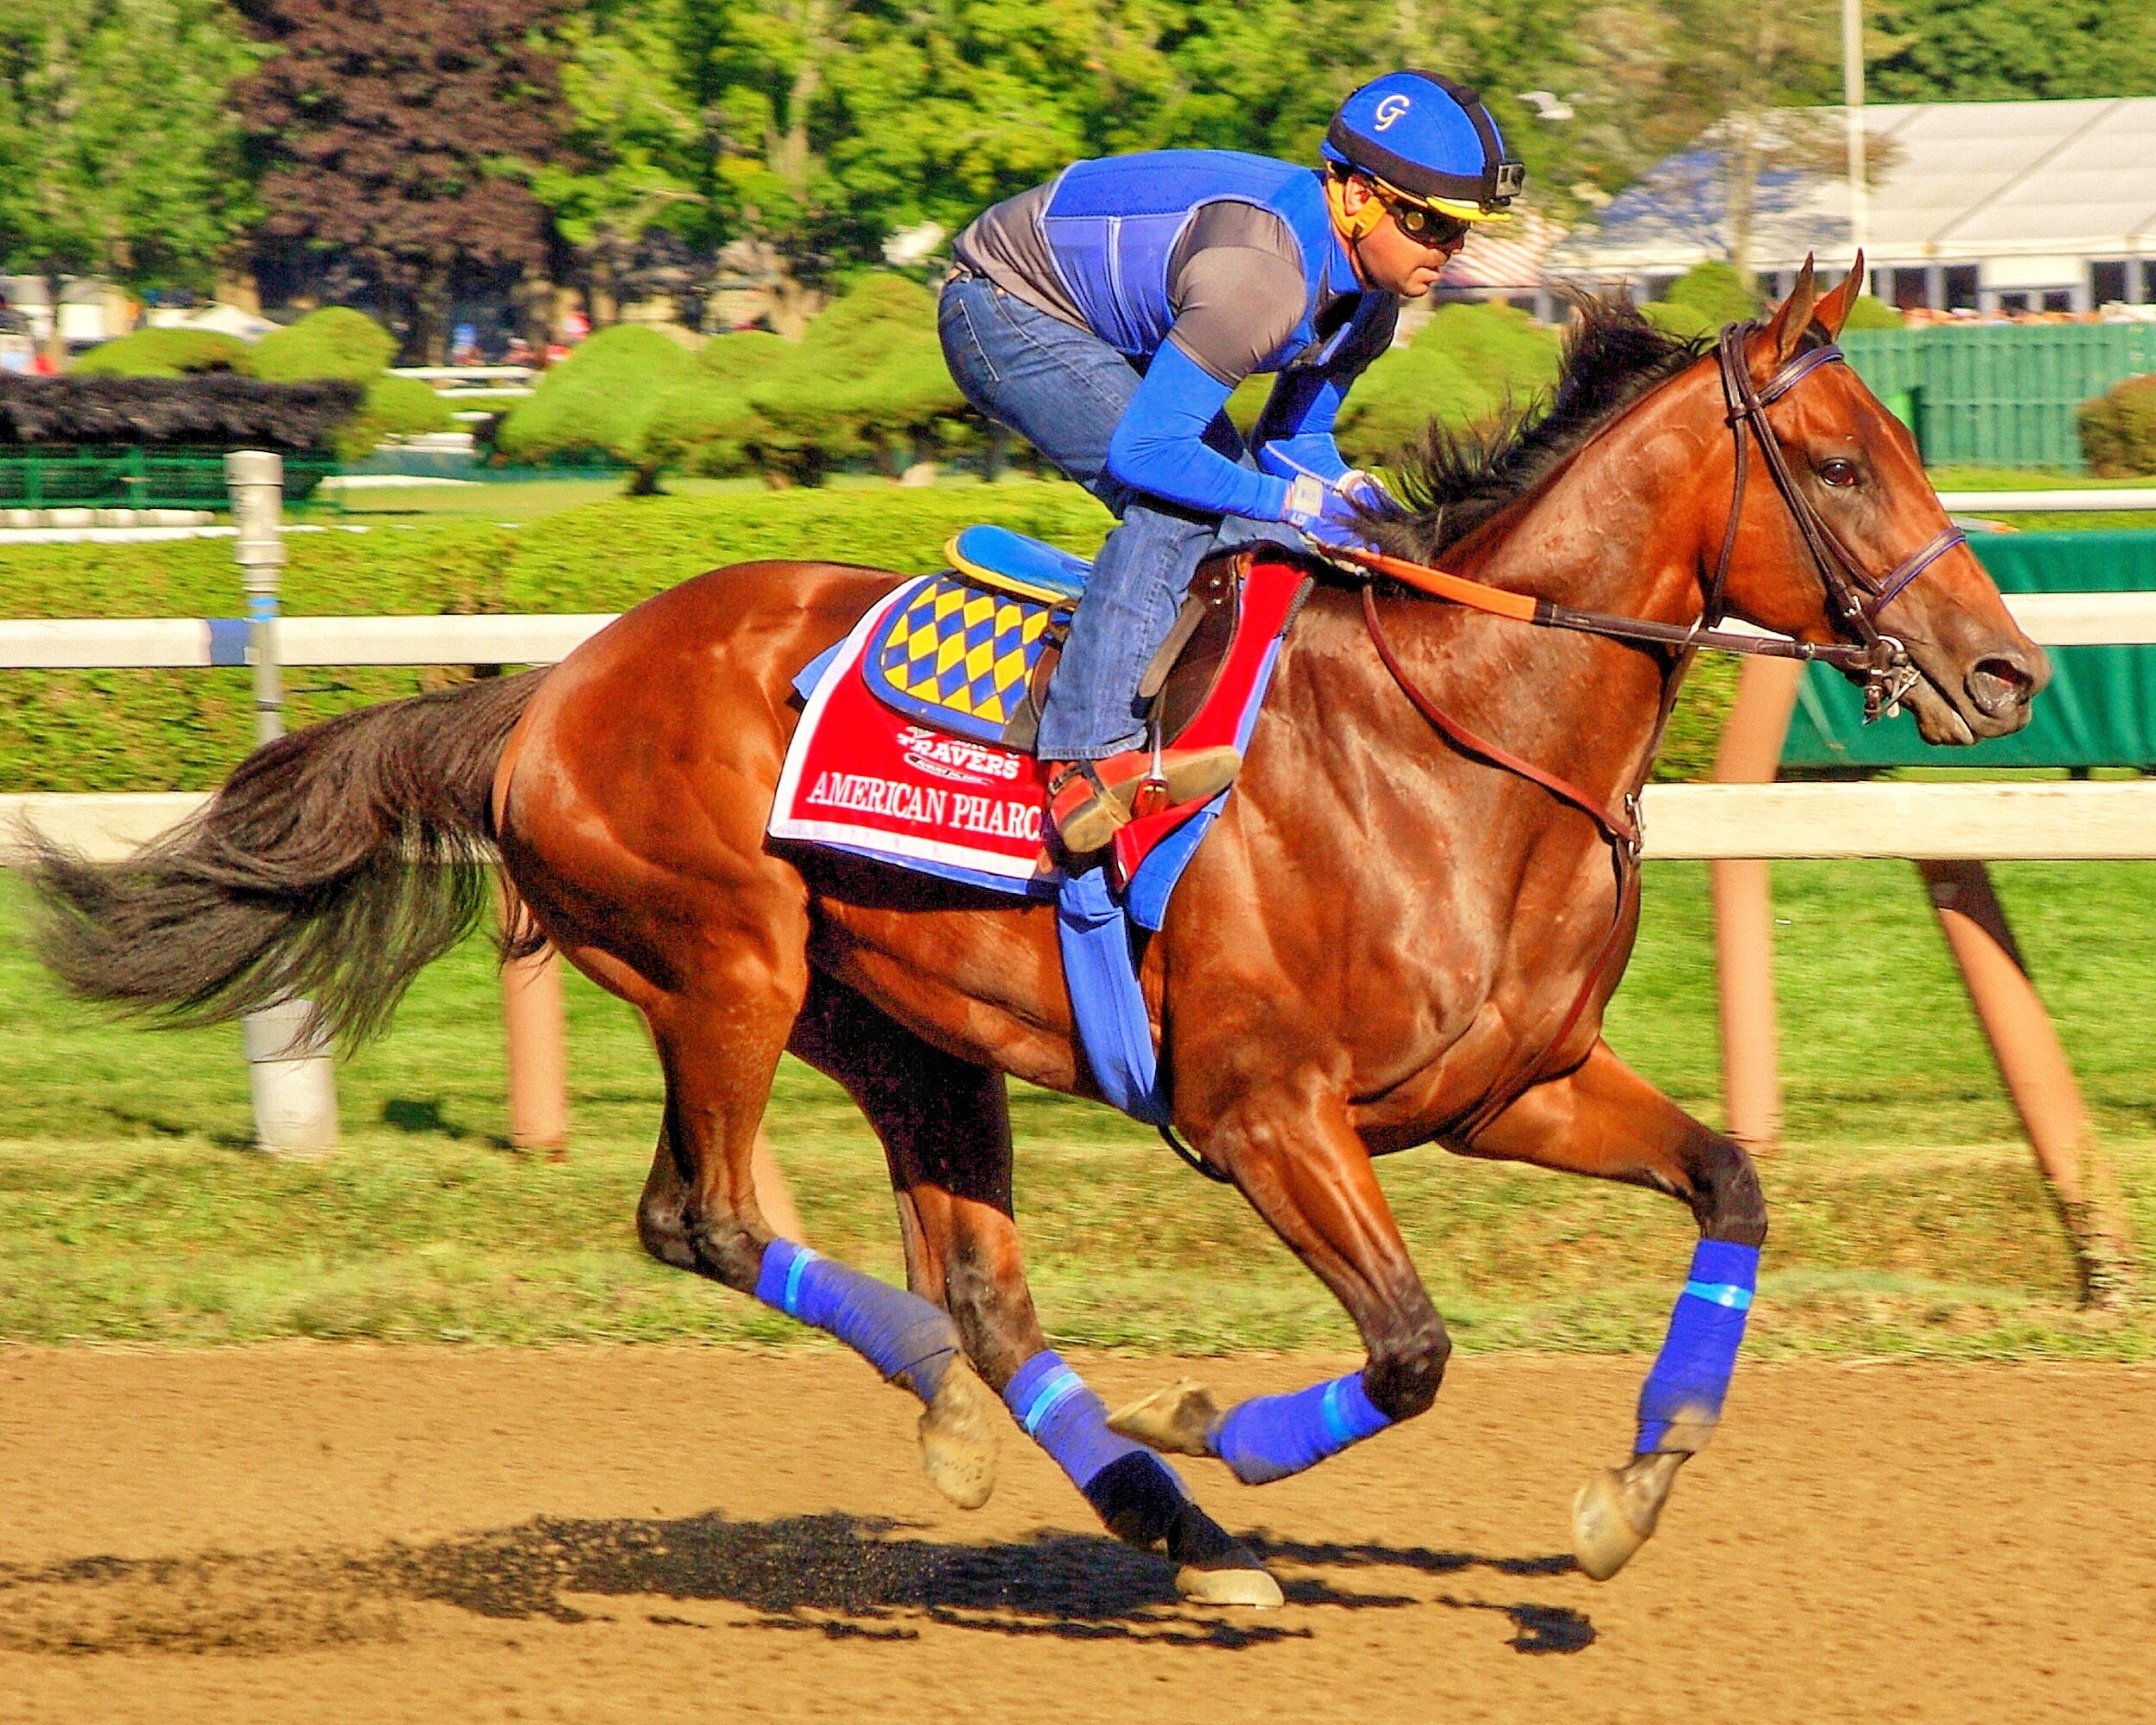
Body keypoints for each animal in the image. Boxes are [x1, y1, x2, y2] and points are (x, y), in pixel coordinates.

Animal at [41, 266, 2043, 1604]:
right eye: (1840, 465)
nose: (2005, 670)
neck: (1455, 733)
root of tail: (547, 689)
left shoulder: (1512, 1088)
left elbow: (1731, 1184)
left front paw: (1632, 1489)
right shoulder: (1260, 1111)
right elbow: (1408, 1345)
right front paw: (1218, 1415)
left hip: (906, 1031)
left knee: (984, 1294)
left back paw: (1174, 1526)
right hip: (727, 965)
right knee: (711, 1221)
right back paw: (1015, 1428)